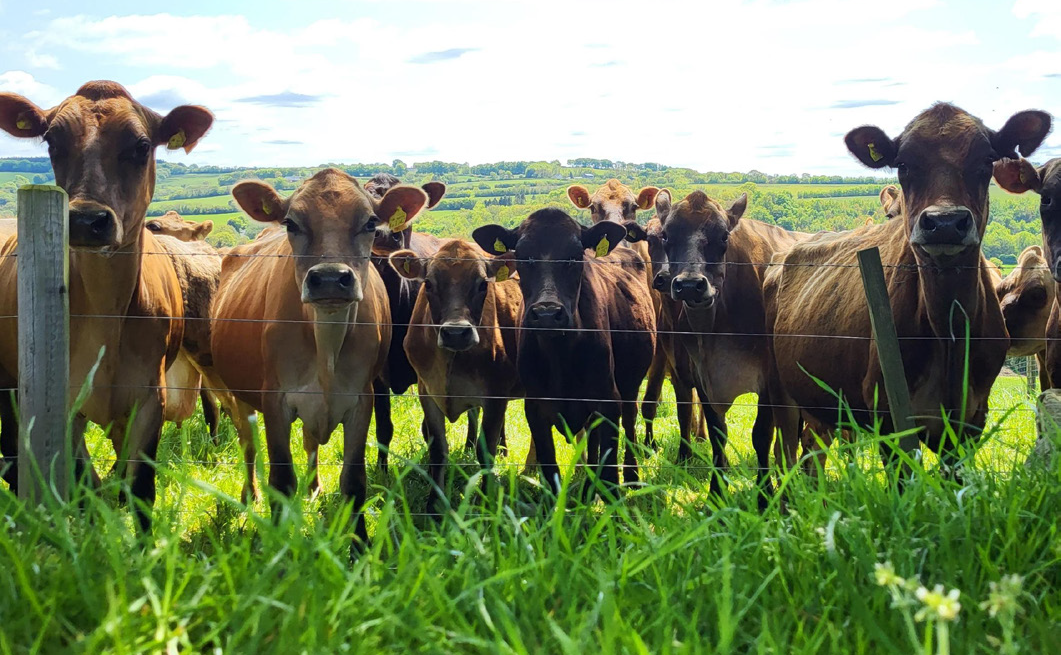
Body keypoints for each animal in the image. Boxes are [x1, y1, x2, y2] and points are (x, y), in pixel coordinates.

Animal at [0, 81, 212, 524]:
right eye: (52, 141)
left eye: (142, 145)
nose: (85, 220)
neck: (105, 314)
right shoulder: (62, 400)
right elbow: (85, 487)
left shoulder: (148, 399)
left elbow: (140, 489)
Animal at [211, 168, 426, 541]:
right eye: (291, 223)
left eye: (371, 222)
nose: (329, 278)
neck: (326, 346)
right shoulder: (275, 399)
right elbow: (281, 481)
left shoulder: (362, 399)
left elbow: (354, 481)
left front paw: (360, 545)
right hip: (237, 395)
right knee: (248, 444)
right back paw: (249, 495)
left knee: (310, 442)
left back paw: (313, 487)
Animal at [390, 237, 522, 507]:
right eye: (428, 283)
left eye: (483, 284)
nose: (456, 333)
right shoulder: (426, 391)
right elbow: (438, 448)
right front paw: (434, 505)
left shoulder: (496, 393)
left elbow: (486, 451)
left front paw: (486, 502)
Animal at [475, 208, 653, 494]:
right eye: (523, 255)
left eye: (575, 255)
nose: (547, 313)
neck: (560, 354)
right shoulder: (536, 407)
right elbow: (550, 469)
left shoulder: (608, 400)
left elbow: (609, 471)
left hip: (629, 386)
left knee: (630, 422)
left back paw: (632, 476)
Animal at [768, 101, 1048, 473]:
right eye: (902, 164)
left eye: (987, 159)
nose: (945, 223)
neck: (949, 330)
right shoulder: (890, 417)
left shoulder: (971, 421)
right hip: (787, 396)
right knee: (790, 453)